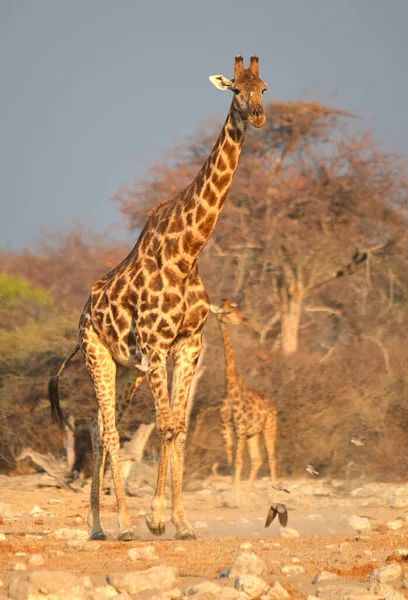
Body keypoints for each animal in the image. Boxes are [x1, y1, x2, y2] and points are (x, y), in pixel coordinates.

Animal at [48, 55, 268, 544]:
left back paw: (96, 524)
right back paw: (121, 525)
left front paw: (178, 522)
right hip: (98, 355)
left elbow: (177, 429)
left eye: (264, 86)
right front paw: (154, 519)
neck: (188, 252)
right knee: (110, 429)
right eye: (235, 89)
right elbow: (165, 426)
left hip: (128, 368)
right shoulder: (155, 344)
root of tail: (82, 315)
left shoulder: (187, 345)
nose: (259, 115)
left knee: (98, 426)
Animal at [210, 300, 278, 506]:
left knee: (272, 458)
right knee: (257, 459)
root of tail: (273, 405)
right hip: (252, 434)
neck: (231, 388)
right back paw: (248, 498)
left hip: (268, 428)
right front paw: (236, 499)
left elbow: (238, 462)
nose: (246, 320)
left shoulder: (240, 428)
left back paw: (275, 498)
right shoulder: (226, 427)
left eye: (237, 308)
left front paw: (236, 500)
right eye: (227, 312)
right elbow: (231, 463)